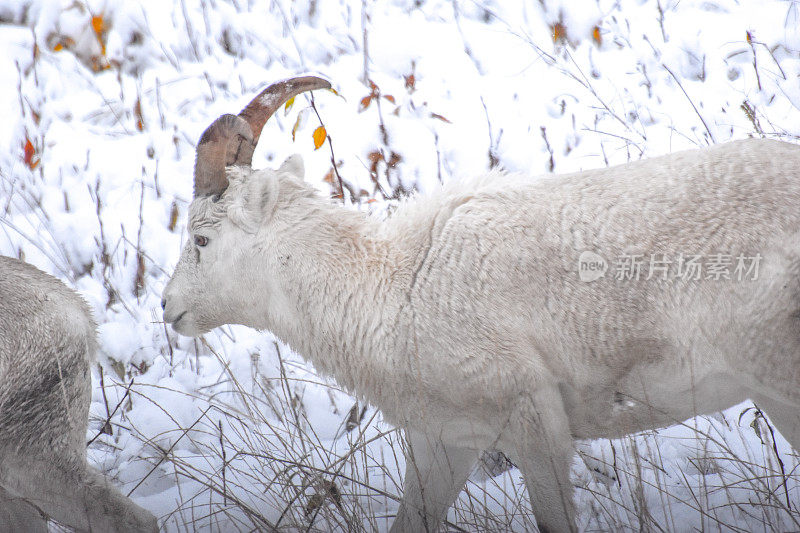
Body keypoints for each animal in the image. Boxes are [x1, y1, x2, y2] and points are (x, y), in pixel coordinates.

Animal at [162, 76, 800, 532]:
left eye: (202, 238)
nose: (168, 309)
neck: (398, 285)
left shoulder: (536, 432)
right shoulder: (445, 444)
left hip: (780, 388)